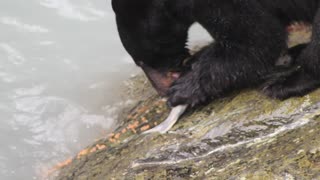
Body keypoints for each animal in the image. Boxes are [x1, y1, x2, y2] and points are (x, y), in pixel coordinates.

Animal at [111, 0, 318, 107]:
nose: (161, 91)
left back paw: (288, 83)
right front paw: (196, 60)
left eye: (140, 61)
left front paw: (183, 89)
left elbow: (255, 40)